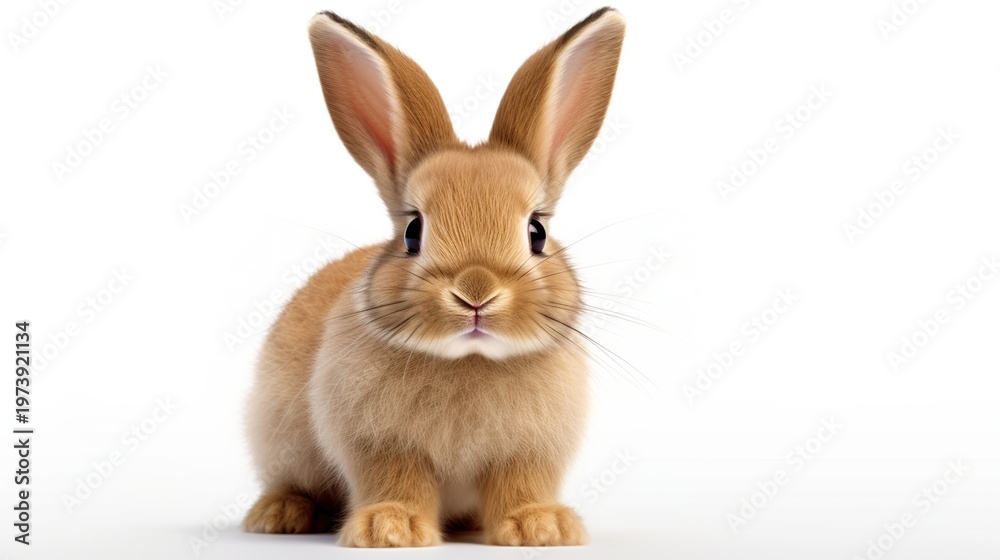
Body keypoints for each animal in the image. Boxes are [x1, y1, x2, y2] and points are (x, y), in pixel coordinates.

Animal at [243, 7, 625, 547]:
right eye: (413, 231)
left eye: (537, 232)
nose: (475, 293)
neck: (469, 359)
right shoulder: (381, 445)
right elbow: (397, 480)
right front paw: (390, 528)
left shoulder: (528, 452)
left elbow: (520, 483)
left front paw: (540, 527)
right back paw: (281, 514)